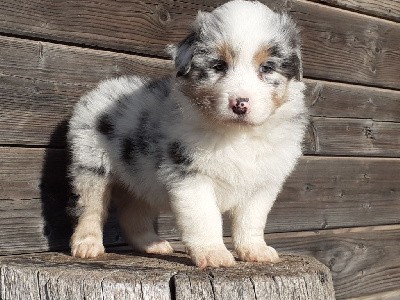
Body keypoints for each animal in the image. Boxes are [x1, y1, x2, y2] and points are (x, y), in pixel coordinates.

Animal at [68, 0, 306, 268]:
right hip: (91, 166)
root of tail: (101, 87)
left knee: (133, 213)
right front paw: (213, 254)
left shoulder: (262, 183)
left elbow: (251, 220)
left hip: (141, 178)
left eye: (266, 67)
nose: (240, 104)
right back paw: (87, 245)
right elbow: (205, 217)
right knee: (90, 208)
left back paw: (153, 244)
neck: (237, 134)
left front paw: (256, 251)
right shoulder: (190, 175)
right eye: (218, 66)